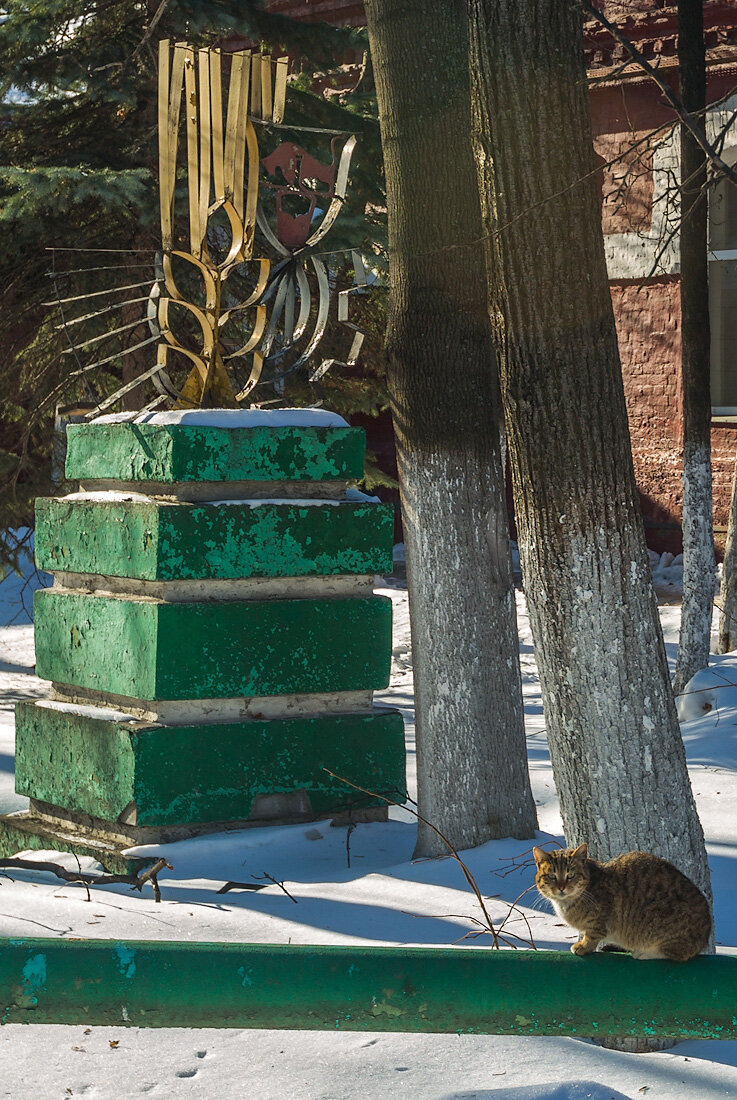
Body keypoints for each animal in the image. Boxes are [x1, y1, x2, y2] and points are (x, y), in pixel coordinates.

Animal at [534, 840, 712, 963]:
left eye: (570, 875)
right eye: (552, 876)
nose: (561, 887)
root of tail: (705, 935)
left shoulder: (599, 921)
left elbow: (592, 935)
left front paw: (583, 946)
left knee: (678, 954)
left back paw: (644, 952)